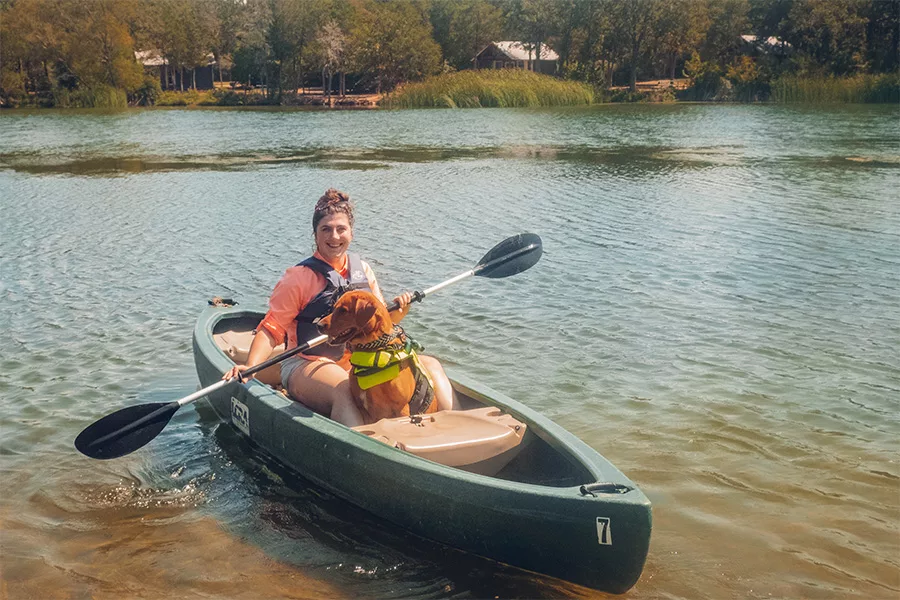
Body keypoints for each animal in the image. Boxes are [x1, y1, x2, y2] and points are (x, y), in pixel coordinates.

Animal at [316, 290, 440, 422]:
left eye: (343, 310)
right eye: (334, 308)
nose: (318, 325)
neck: (375, 350)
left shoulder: (402, 410)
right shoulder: (363, 409)